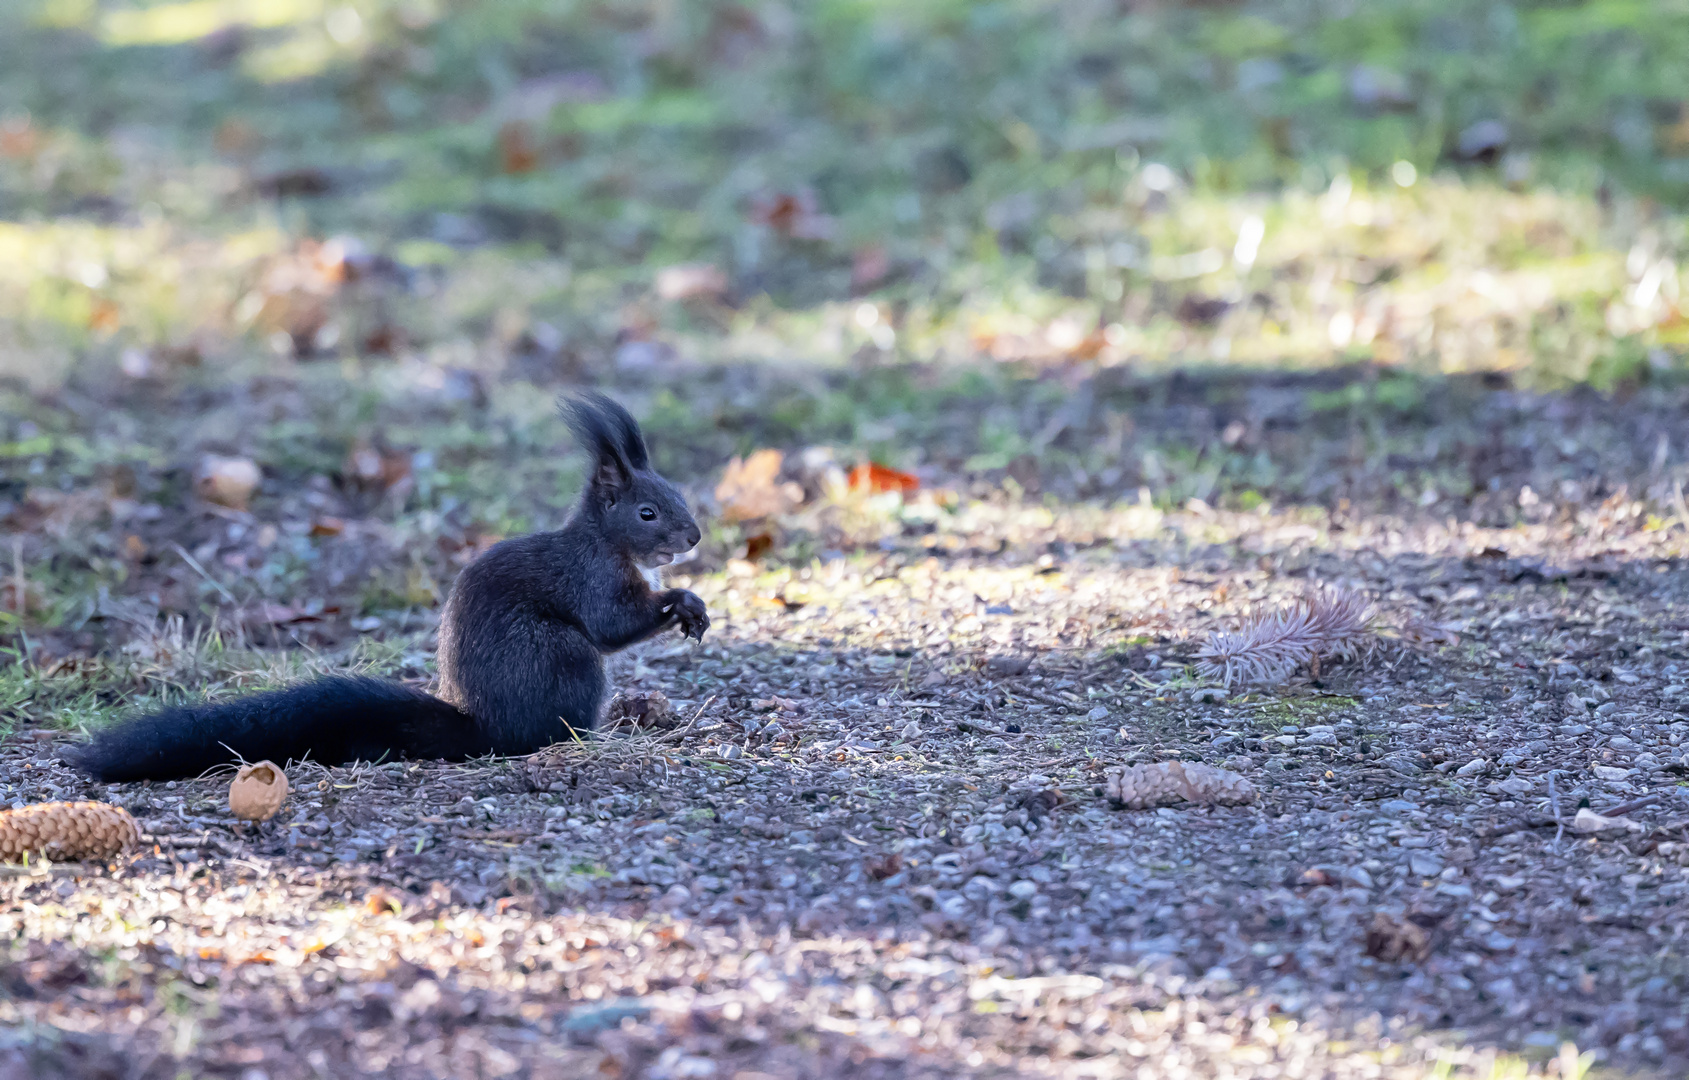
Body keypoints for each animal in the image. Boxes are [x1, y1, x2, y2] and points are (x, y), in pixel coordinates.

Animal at [65, 392, 706, 780]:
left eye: (678, 492)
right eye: (648, 512)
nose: (695, 535)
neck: (606, 541)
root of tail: (485, 727)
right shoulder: (589, 575)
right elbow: (612, 624)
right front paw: (684, 604)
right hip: (563, 659)